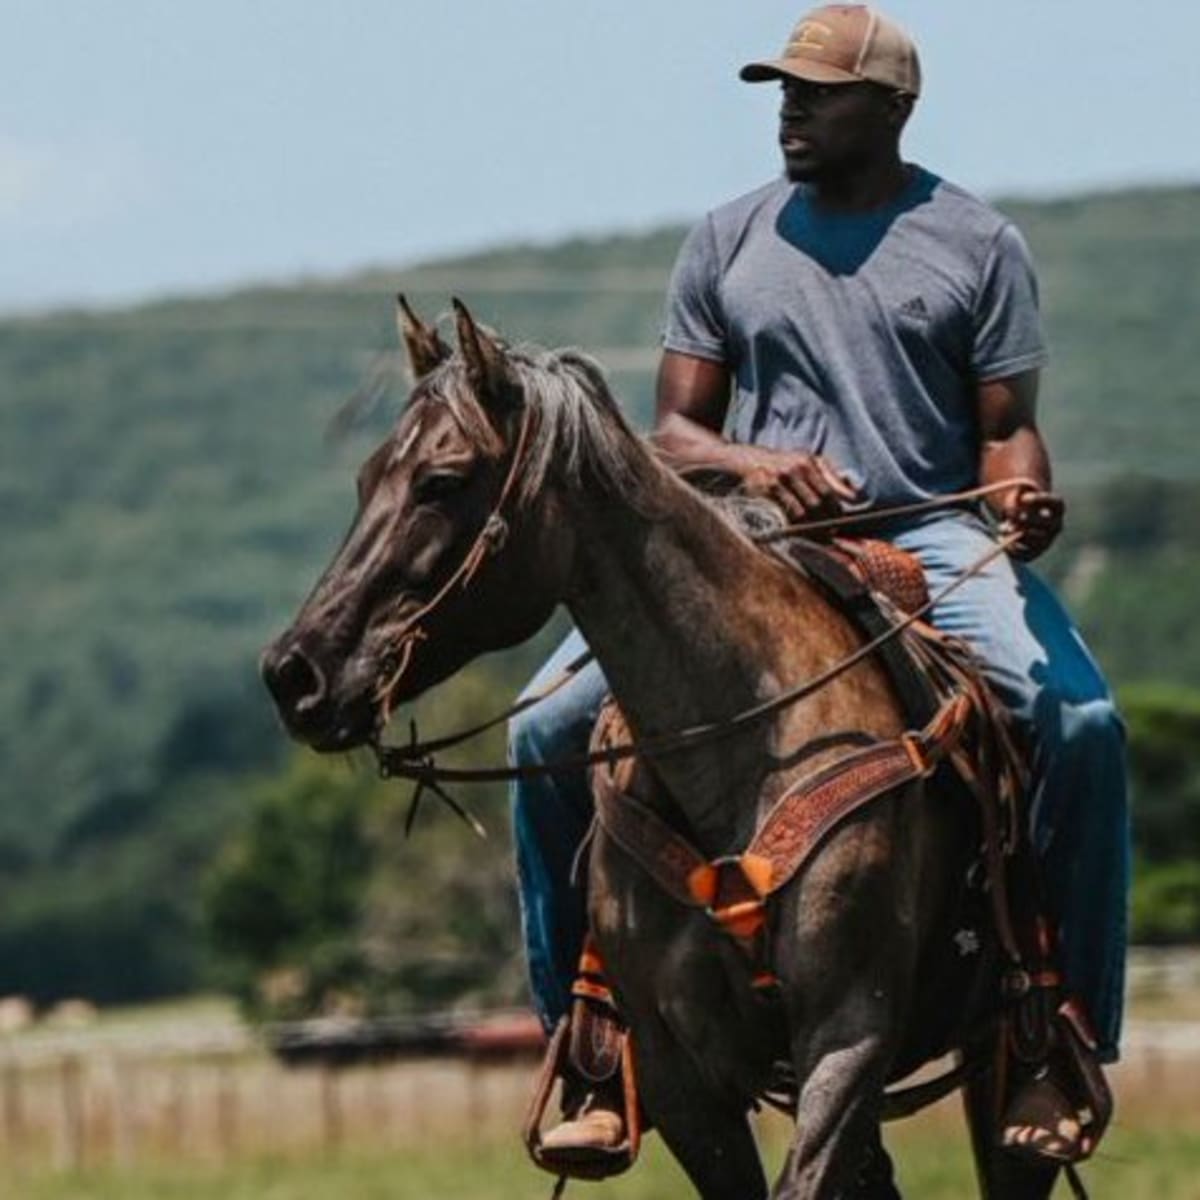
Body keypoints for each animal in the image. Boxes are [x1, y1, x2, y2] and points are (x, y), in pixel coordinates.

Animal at [262, 297, 1060, 1200]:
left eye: (442, 481)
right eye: (368, 480)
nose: (294, 673)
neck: (740, 747)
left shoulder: (849, 1035)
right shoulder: (680, 1072)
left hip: (995, 1059)